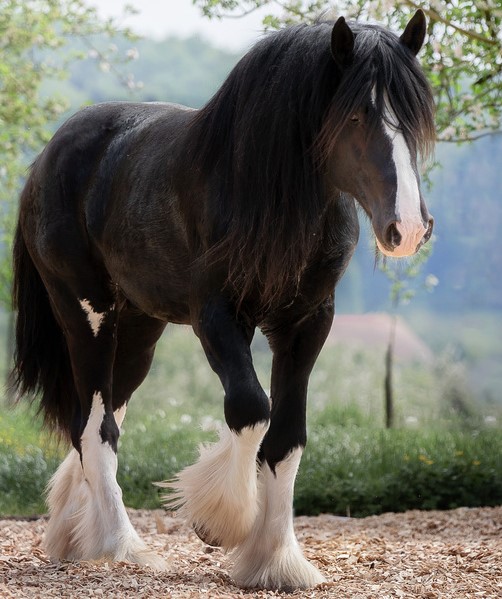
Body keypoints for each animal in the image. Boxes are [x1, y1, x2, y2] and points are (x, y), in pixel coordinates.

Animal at [10, 9, 436, 592]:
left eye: (415, 118)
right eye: (355, 116)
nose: (409, 228)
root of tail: (48, 157)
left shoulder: (308, 322)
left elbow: (288, 436)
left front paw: (277, 561)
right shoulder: (216, 316)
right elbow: (252, 410)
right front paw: (220, 523)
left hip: (138, 330)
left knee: (95, 420)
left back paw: (75, 535)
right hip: (87, 313)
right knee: (96, 428)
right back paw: (124, 547)